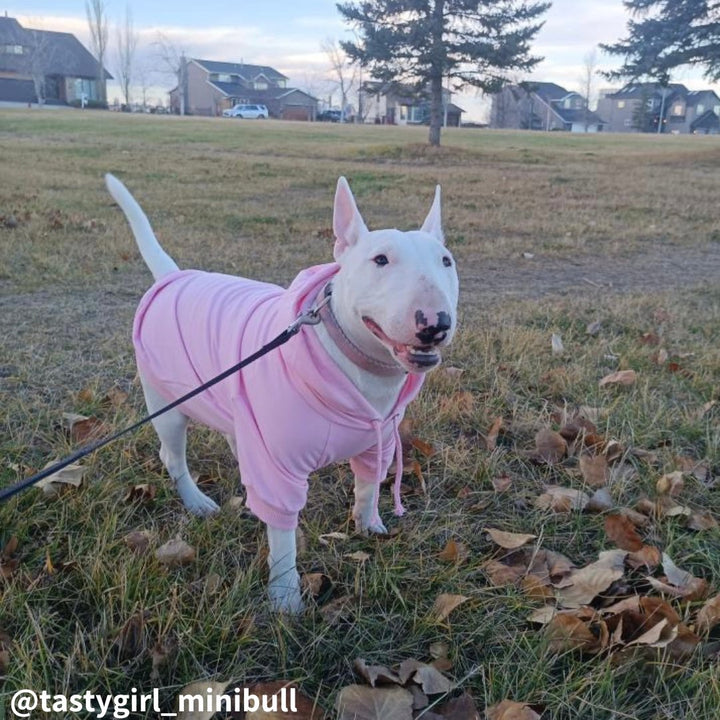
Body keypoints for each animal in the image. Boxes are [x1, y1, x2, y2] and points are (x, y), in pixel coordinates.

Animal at [104, 174, 458, 612]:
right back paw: (196, 501)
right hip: (167, 401)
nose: (435, 323)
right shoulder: (280, 465)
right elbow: (283, 534)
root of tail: (174, 276)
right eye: (380, 260)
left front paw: (368, 524)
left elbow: (368, 485)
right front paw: (286, 597)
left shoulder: (379, 437)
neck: (357, 366)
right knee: (171, 454)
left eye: (446, 261)